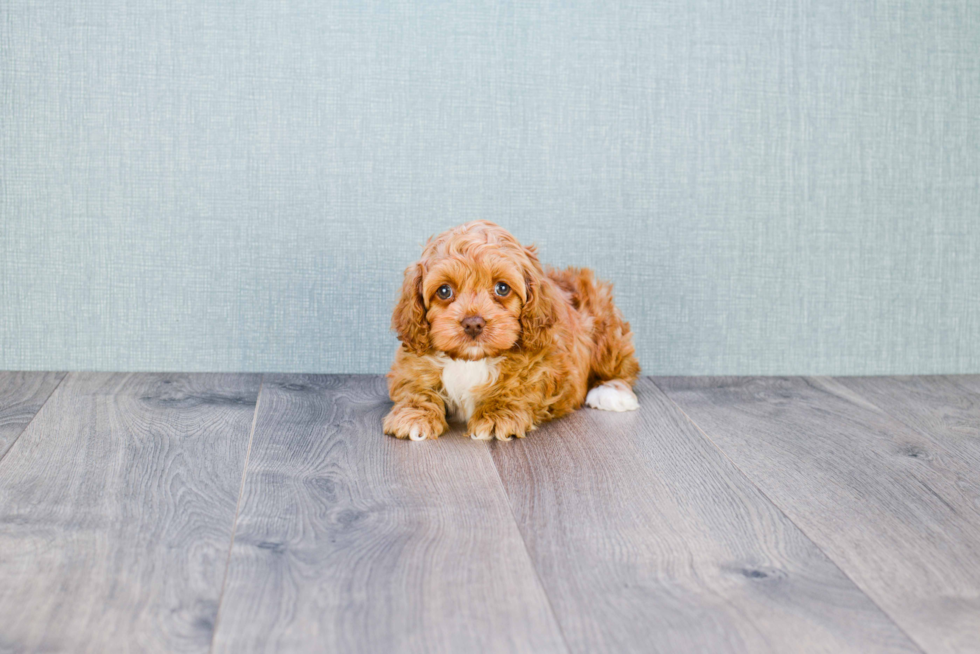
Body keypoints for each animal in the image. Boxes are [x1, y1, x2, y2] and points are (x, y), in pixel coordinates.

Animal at [382, 223, 644, 444]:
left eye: (502, 288)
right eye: (444, 291)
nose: (473, 323)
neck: (471, 360)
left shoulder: (545, 364)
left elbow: (520, 387)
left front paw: (497, 415)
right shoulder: (412, 363)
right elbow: (415, 388)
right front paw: (414, 415)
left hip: (607, 331)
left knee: (622, 369)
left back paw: (612, 392)